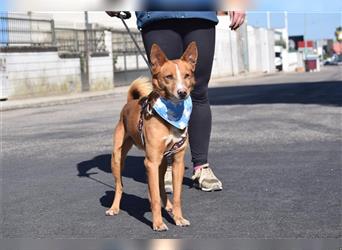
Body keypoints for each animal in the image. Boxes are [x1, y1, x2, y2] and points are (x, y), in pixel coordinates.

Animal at [106, 42, 198, 231]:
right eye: (169, 77)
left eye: (187, 75)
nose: (182, 92)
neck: (172, 114)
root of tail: (130, 103)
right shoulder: (151, 162)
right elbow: (154, 197)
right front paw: (158, 223)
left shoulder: (177, 162)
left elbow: (176, 195)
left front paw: (178, 218)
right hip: (117, 159)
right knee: (119, 186)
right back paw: (114, 208)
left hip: (162, 162)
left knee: (161, 187)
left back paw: (168, 206)